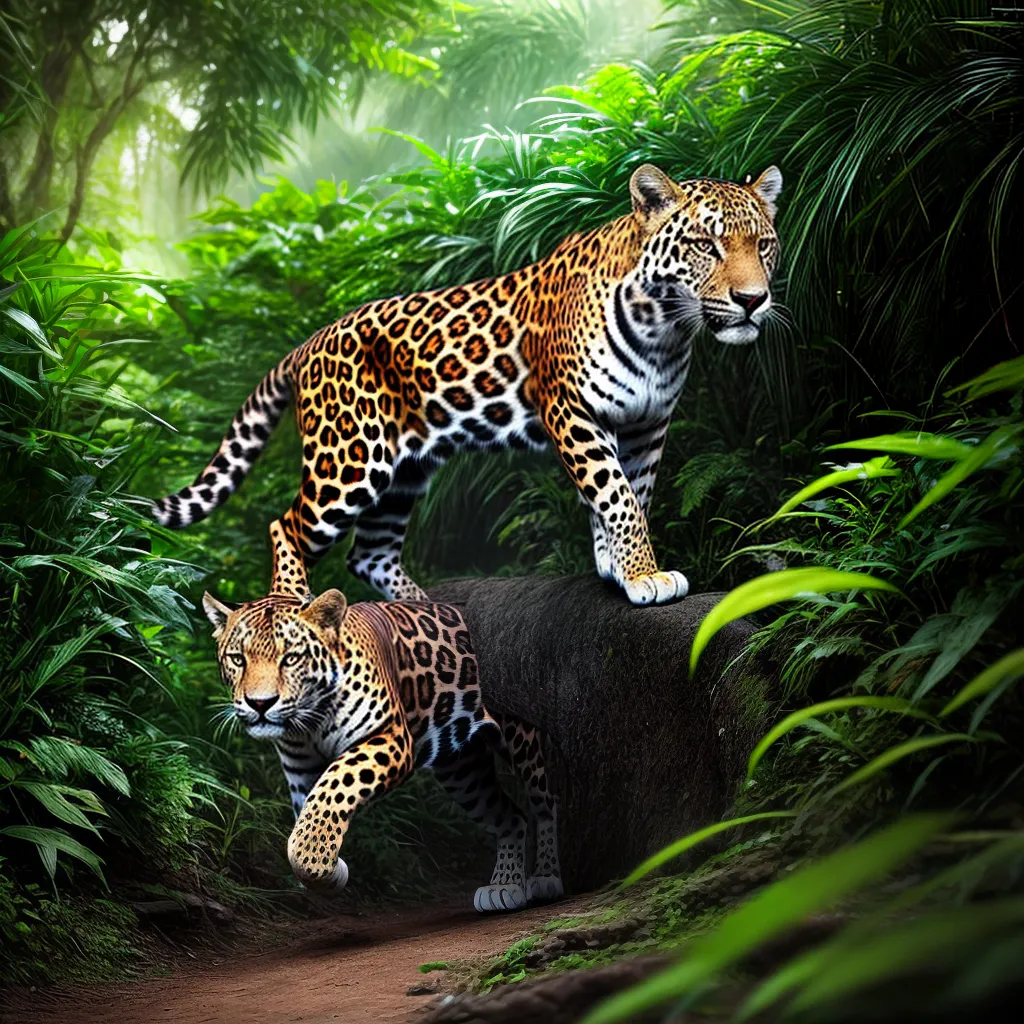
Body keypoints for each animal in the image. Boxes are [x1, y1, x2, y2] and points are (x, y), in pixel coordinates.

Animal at [154, 163, 782, 606]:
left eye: (764, 244)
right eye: (705, 245)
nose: (753, 300)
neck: (665, 328)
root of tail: (309, 342)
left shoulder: (647, 424)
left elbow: (635, 493)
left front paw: (617, 569)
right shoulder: (573, 410)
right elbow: (617, 496)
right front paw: (644, 574)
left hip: (404, 470)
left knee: (369, 554)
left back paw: (422, 608)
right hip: (350, 459)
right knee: (285, 525)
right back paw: (293, 606)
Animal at [202, 521, 562, 913]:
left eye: (291, 658)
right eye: (238, 659)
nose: (260, 704)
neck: (309, 723)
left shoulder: (388, 738)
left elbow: (332, 790)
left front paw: (318, 861)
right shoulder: (300, 768)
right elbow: (311, 808)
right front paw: (328, 868)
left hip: (519, 738)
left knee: (544, 803)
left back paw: (545, 878)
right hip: (462, 770)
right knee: (511, 816)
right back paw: (505, 886)